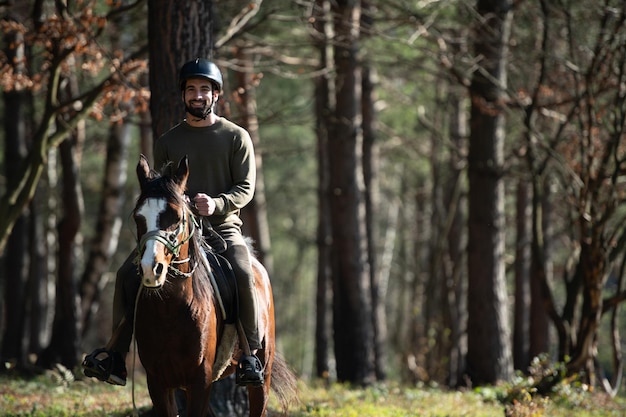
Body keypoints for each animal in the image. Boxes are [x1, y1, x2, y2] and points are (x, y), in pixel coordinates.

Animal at [131, 154, 294, 414]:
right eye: (138, 217)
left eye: (176, 216)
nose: (150, 269)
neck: (170, 310)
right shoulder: (158, 382)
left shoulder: (201, 379)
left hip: (263, 376)